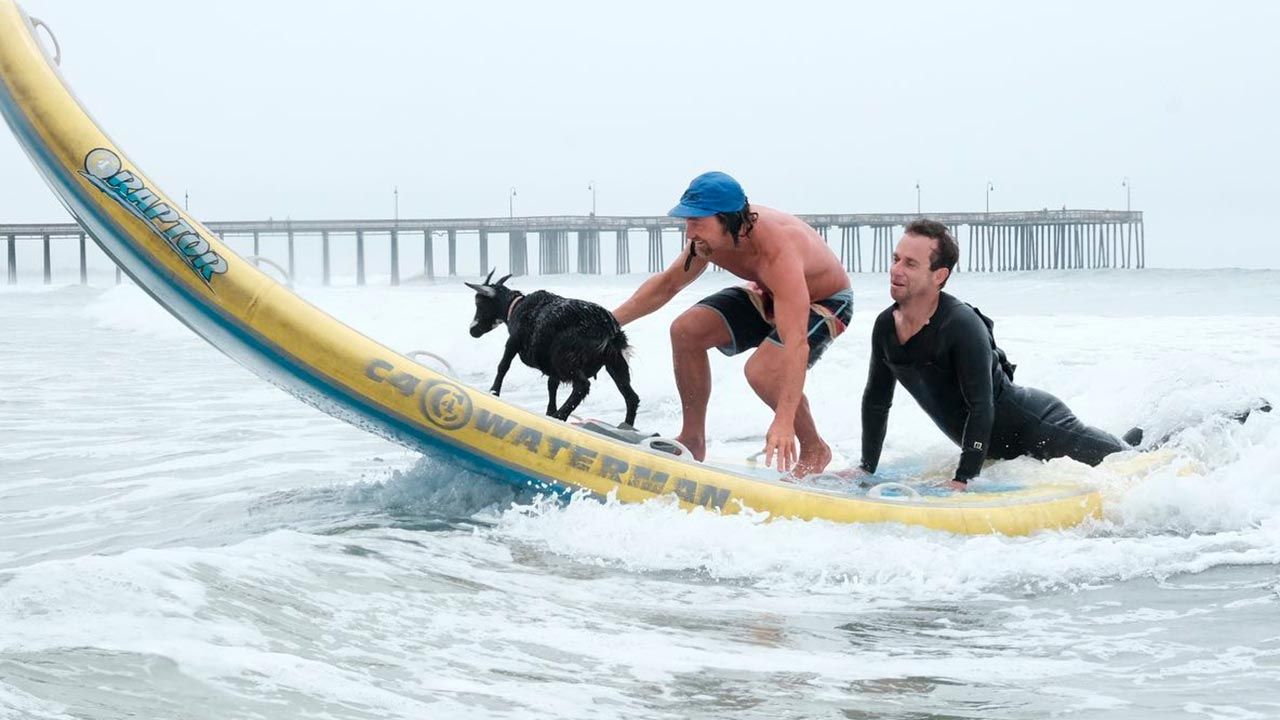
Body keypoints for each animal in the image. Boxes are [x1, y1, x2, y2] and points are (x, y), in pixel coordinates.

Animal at [465, 269, 640, 425]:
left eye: (480, 303)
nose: (473, 330)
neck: (515, 307)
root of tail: (607, 328)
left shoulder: (514, 341)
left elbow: (503, 365)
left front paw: (494, 392)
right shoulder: (550, 364)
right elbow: (552, 385)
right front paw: (549, 411)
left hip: (565, 358)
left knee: (582, 386)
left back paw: (560, 416)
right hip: (614, 361)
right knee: (631, 397)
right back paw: (626, 426)